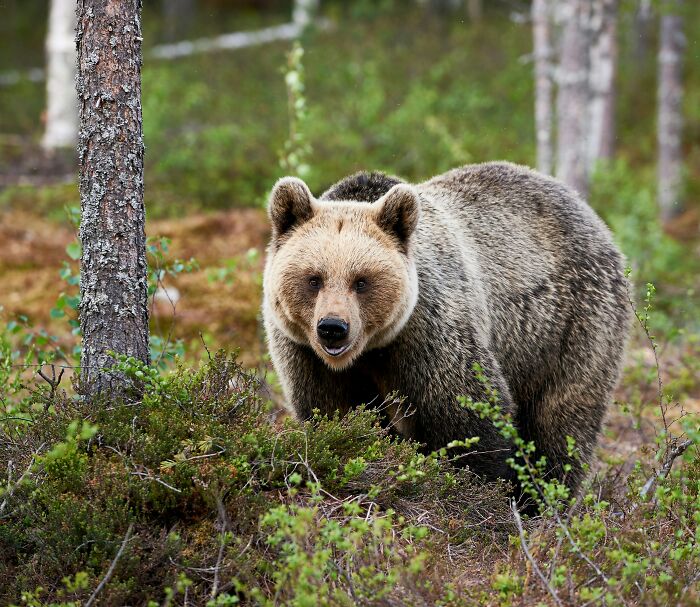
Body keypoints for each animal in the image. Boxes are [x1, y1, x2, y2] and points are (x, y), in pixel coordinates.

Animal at [262, 162, 631, 502]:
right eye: (314, 278)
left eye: (361, 281)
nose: (333, 328)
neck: (373, 349)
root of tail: (589, 213)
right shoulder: (306, 354)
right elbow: (335, 414)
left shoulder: (432, 331)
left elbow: (467, 415)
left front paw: (478, 491)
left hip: (571, 326)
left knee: (560, 421)